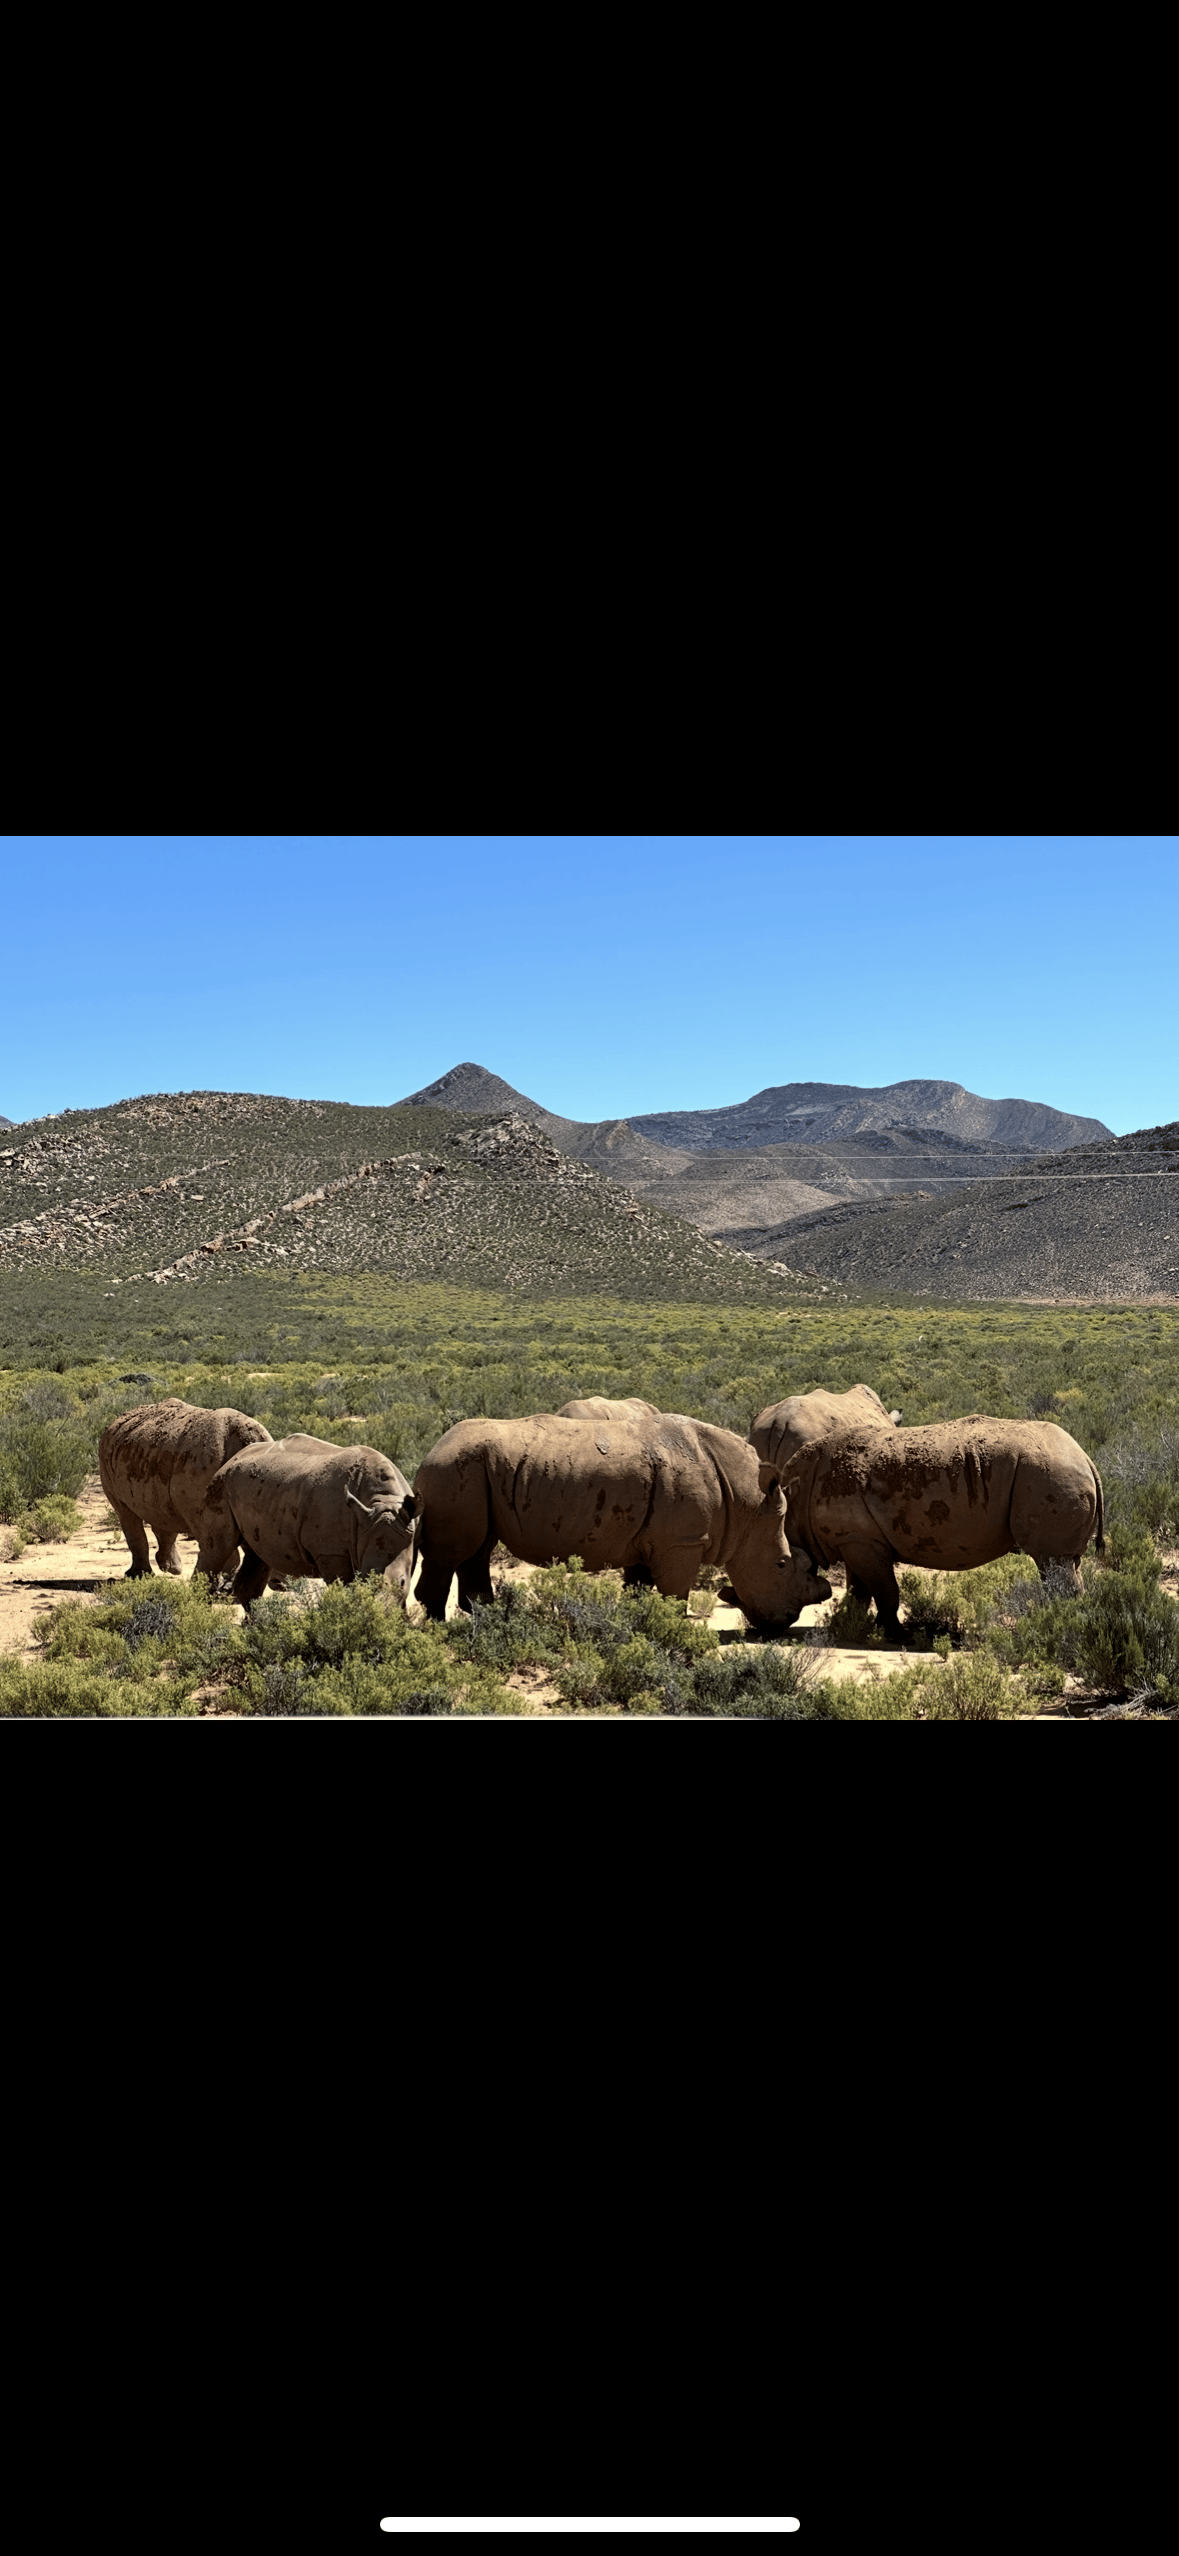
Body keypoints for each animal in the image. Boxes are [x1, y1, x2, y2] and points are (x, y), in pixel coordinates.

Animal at [99, 1398, 273, 1580]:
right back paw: (141, 1575)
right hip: (110, 1458)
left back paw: (171, 1569)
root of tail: (115, 1423)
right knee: (126, 1513)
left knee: (162, 1510)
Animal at [202, 1434, 417, 1605]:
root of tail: (231, 1459)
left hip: (254, 1488)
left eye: (402, 1583)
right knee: (217, 1549)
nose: (380, 1609)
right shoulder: (330, 1552)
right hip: (221, 1484)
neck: (384, 1500)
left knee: (258, 1556)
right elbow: (345, 1587)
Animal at [413, 1412, 831, 1628]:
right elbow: (674, 1596)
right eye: (782, 1564)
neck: (749, 1505)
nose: (786, 1620)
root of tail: (431, 1449)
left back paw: (486, 1617)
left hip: (475, 1471)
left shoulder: (649, 1544)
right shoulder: (682, 1543)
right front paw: (673, 1634)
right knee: (453, 1552)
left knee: (479, 1547)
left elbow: (638, 1591)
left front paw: (638, 1627)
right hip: (453, 1469)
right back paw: (439, 1629)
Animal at [768, 1417, 1105, 1640]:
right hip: (1051, 1473)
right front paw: (848, 1626)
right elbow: (860, 1589)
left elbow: (884, 1589)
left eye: (785, 1567)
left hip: (1049, 1473)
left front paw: (895, 1636)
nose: (768, 1626)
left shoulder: (862, 1541)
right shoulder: (854, 1538)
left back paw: (1059, 1628)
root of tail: (1086, 1458)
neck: (795, 1497)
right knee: (1061, 1564)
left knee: (1052, 1561)